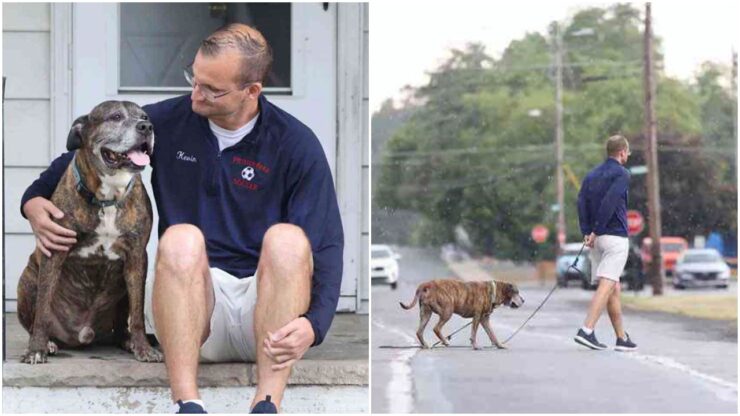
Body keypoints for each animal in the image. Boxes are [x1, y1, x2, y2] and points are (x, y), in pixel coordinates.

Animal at [16, 101, 163, 364]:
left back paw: (127, 340)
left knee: (122, 322)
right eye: (115, 117)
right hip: (28, 280)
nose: (146, 127)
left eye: (145, 116)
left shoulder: (137, 256)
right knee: (35, 318)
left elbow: (137, 312)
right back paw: (48, 343)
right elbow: (42, 309)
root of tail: (82, 334)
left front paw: (143, 348)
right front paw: (36, 350)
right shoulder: (55, 251)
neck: (108, 197)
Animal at [398, 280, 528, 352]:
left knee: (419, 331)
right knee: (436, 328)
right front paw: (475, 346)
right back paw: (445, 341)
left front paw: (499, 345)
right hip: (447, 311)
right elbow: (474, 333)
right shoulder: (477, 316)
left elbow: (492, 333)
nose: (523, 300)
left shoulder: (484, 319)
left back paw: (425, 345)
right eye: (516, 292)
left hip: (426, 313)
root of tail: (426, 284)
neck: (495, 290)